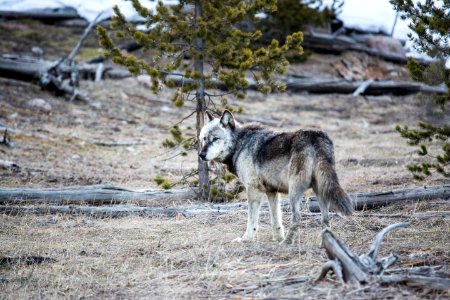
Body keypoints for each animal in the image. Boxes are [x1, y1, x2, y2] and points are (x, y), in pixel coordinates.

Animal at [200, 110, 352, 244]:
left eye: (215, 139)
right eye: (203, 139)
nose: (201, 155)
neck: (240, 144)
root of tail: (316, 136)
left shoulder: (253, 190)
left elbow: (252, 221)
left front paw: (246, 239)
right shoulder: (272, 191)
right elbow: (276, 220)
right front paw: (278, 237)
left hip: (294, 192)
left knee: (297, 218)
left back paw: (287, 243)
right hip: (320, 190)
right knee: (325, 220)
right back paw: (325, 243)